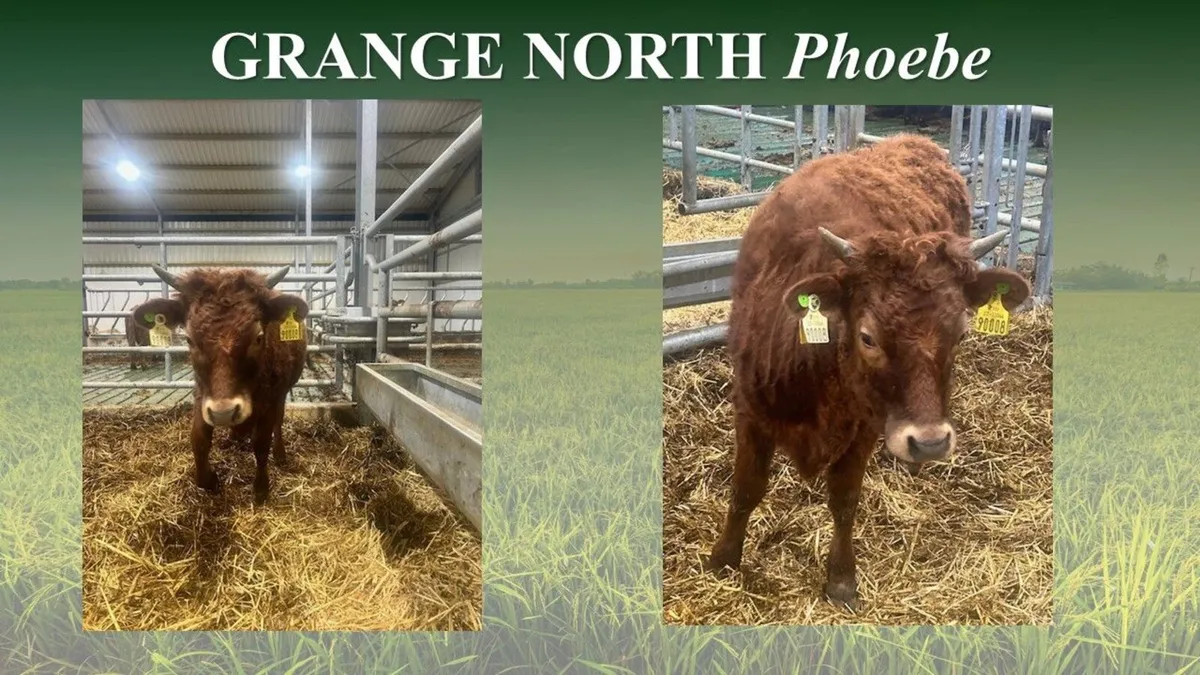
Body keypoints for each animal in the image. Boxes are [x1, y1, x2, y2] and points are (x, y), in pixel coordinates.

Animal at [127, 264, 308, 505]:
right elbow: (199, 439)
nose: (225, 413)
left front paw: (261, 489)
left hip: (283, 392)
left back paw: (279, 454)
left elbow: (261, 444)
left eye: (258, 337)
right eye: (189, 339)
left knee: (278, 421)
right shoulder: (202, 396)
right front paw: (210, 480)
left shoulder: (270, 399)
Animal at [703, 134, 1031, 611]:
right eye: (868, 337)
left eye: (961, 333)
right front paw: (723, 559)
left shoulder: (864, 426)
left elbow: (844, 499)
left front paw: (841, 577)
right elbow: (745, 489)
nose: (930, 442)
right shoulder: (750, 411)